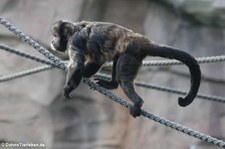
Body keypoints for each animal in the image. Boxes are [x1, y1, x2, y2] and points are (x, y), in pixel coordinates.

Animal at [50, 19, 201, 117]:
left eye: (56, 36)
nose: (52, 41)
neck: (75, 28)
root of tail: (140, 40)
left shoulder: (73, 41)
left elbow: (81, 64)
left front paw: (68, 88)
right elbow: (97, 60)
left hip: (131, 53)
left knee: (124, 79)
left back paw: (137, 102)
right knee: (117, 60)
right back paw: (112, 84)